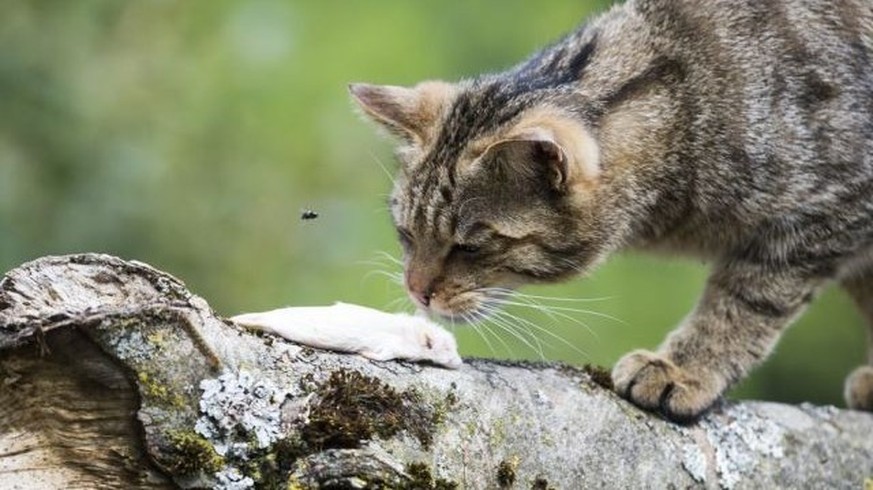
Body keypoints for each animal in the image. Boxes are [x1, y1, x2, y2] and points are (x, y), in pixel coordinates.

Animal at [348, 0, 872, 422]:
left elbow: (745, 298)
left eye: (470, 247)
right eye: (406, 234)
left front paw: (683, 368)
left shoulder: (828, 212)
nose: (416, 292)